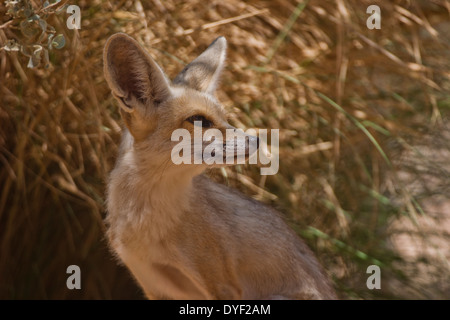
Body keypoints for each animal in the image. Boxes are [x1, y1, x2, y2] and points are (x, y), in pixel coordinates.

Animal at [103, 33, 336, 300]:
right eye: (199, 120)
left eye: (225, 118)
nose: (257, 140)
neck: (146, 223)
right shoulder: (152, 283)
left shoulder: (223, 285)